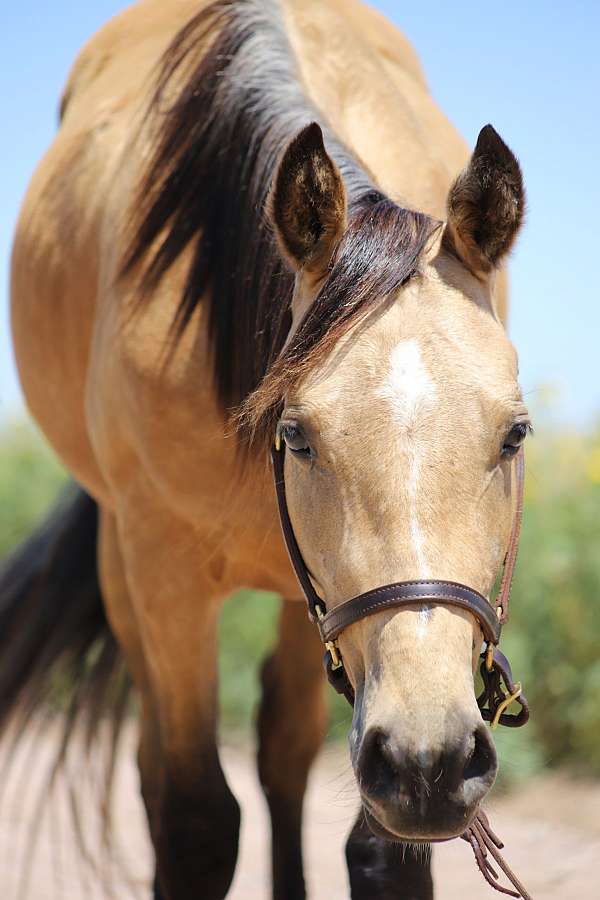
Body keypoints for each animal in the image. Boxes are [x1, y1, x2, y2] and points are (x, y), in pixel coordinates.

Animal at [4, 1, 532, 900]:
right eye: (297, 435)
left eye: (514, 433)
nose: (430, 761)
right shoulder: (165, 574)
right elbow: (195, 821)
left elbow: (380, 851)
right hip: (129, 570)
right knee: (156, 772)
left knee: (282, 757)